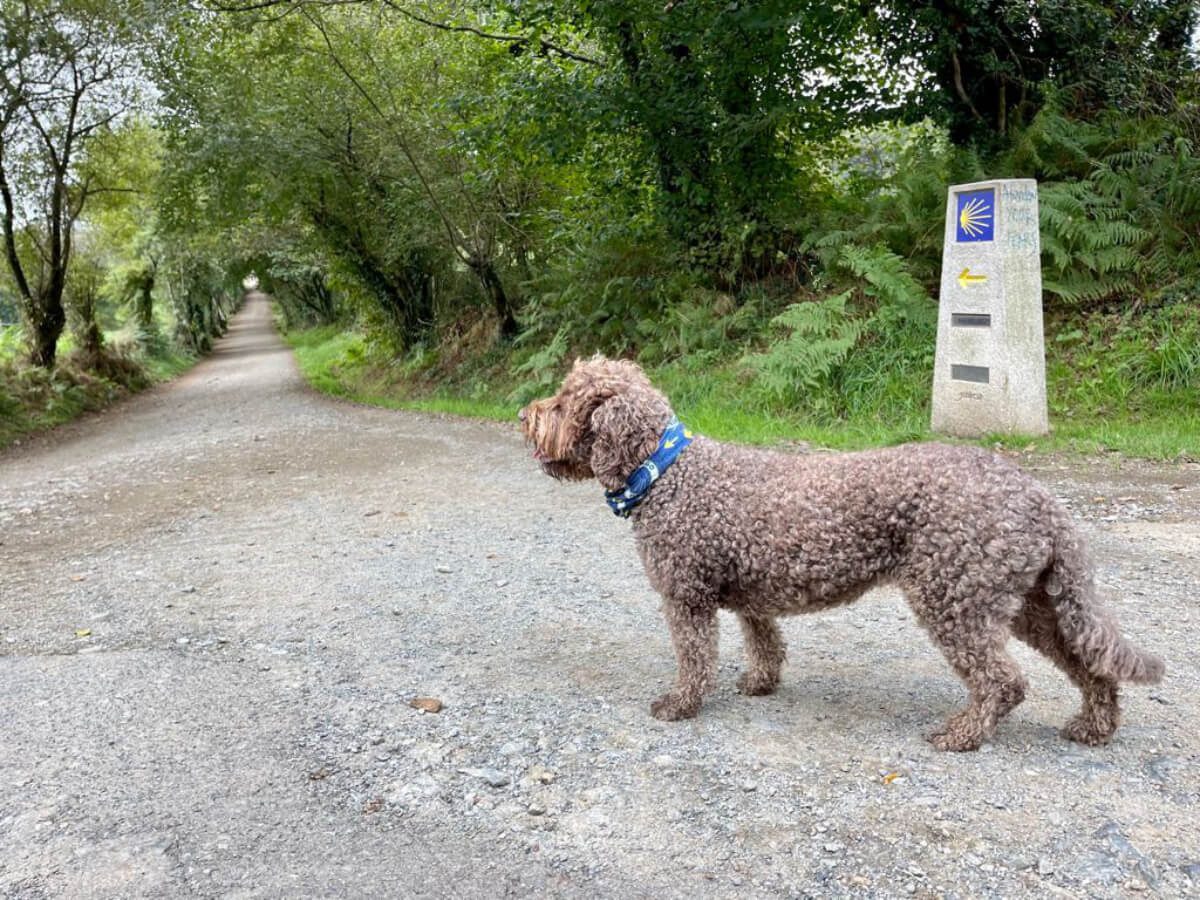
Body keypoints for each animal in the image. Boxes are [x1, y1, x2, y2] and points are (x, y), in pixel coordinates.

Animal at [520, 355, 1166, 748]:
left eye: (564, 401)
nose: (524, 414)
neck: (668, 473)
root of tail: (1039, 494)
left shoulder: (687, 597)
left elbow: (695, 658)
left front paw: (680, 704)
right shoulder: (752, 595)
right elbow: (766, 643)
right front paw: (760, 684)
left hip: (955, 599)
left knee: (1004, 681)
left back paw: (961, 735)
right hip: (1032, 603)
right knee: (1090, 665)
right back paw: (1093, 727)